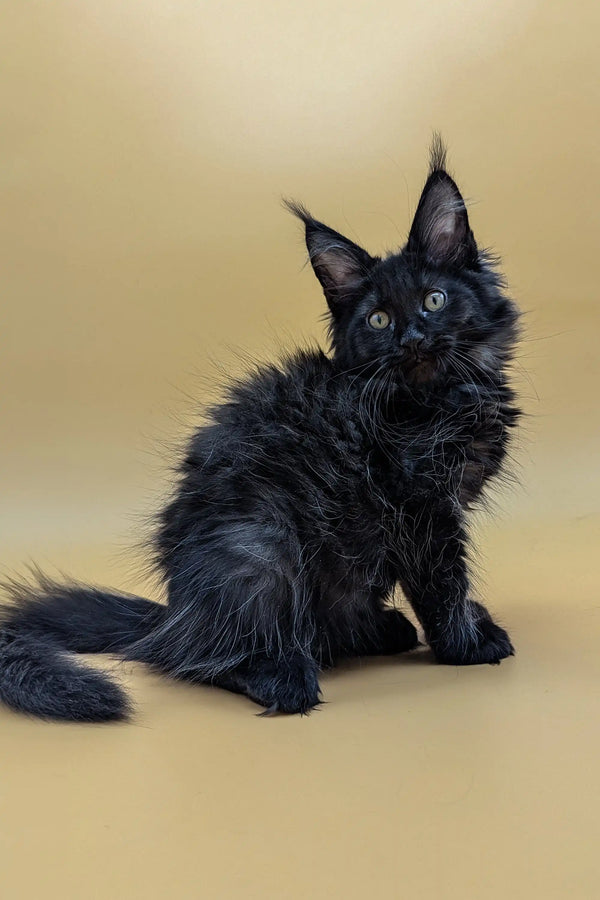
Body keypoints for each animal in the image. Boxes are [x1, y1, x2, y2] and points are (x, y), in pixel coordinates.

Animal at [0, 137, 520, 720]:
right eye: (378, 320)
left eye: (435, 300)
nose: (411, 339)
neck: (440, 399)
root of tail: (173, 613)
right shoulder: (421, 508)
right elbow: (443, 582)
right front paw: (466, 644)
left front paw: (471, 623)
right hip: (263, 547)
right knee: (199, 658)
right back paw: (283, 676)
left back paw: (376, 630)